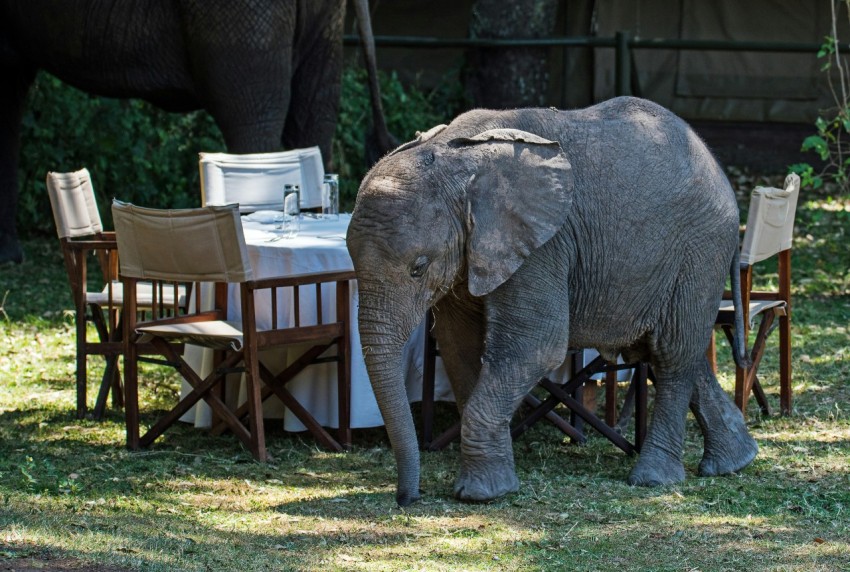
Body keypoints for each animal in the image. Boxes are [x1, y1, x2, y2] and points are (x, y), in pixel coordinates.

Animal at [346, 96, 759, 506]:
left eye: (418, 267)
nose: (408, 498)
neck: (455, 156)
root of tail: (718, 169)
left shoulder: (543, 245)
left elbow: (535, 347)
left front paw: (480, 494)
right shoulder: (471, 254)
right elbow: (459, 347)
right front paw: (495, 483)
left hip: (700, 248)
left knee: (673, 354)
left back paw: (653, 479)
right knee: (668, 352)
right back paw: (734, 462)